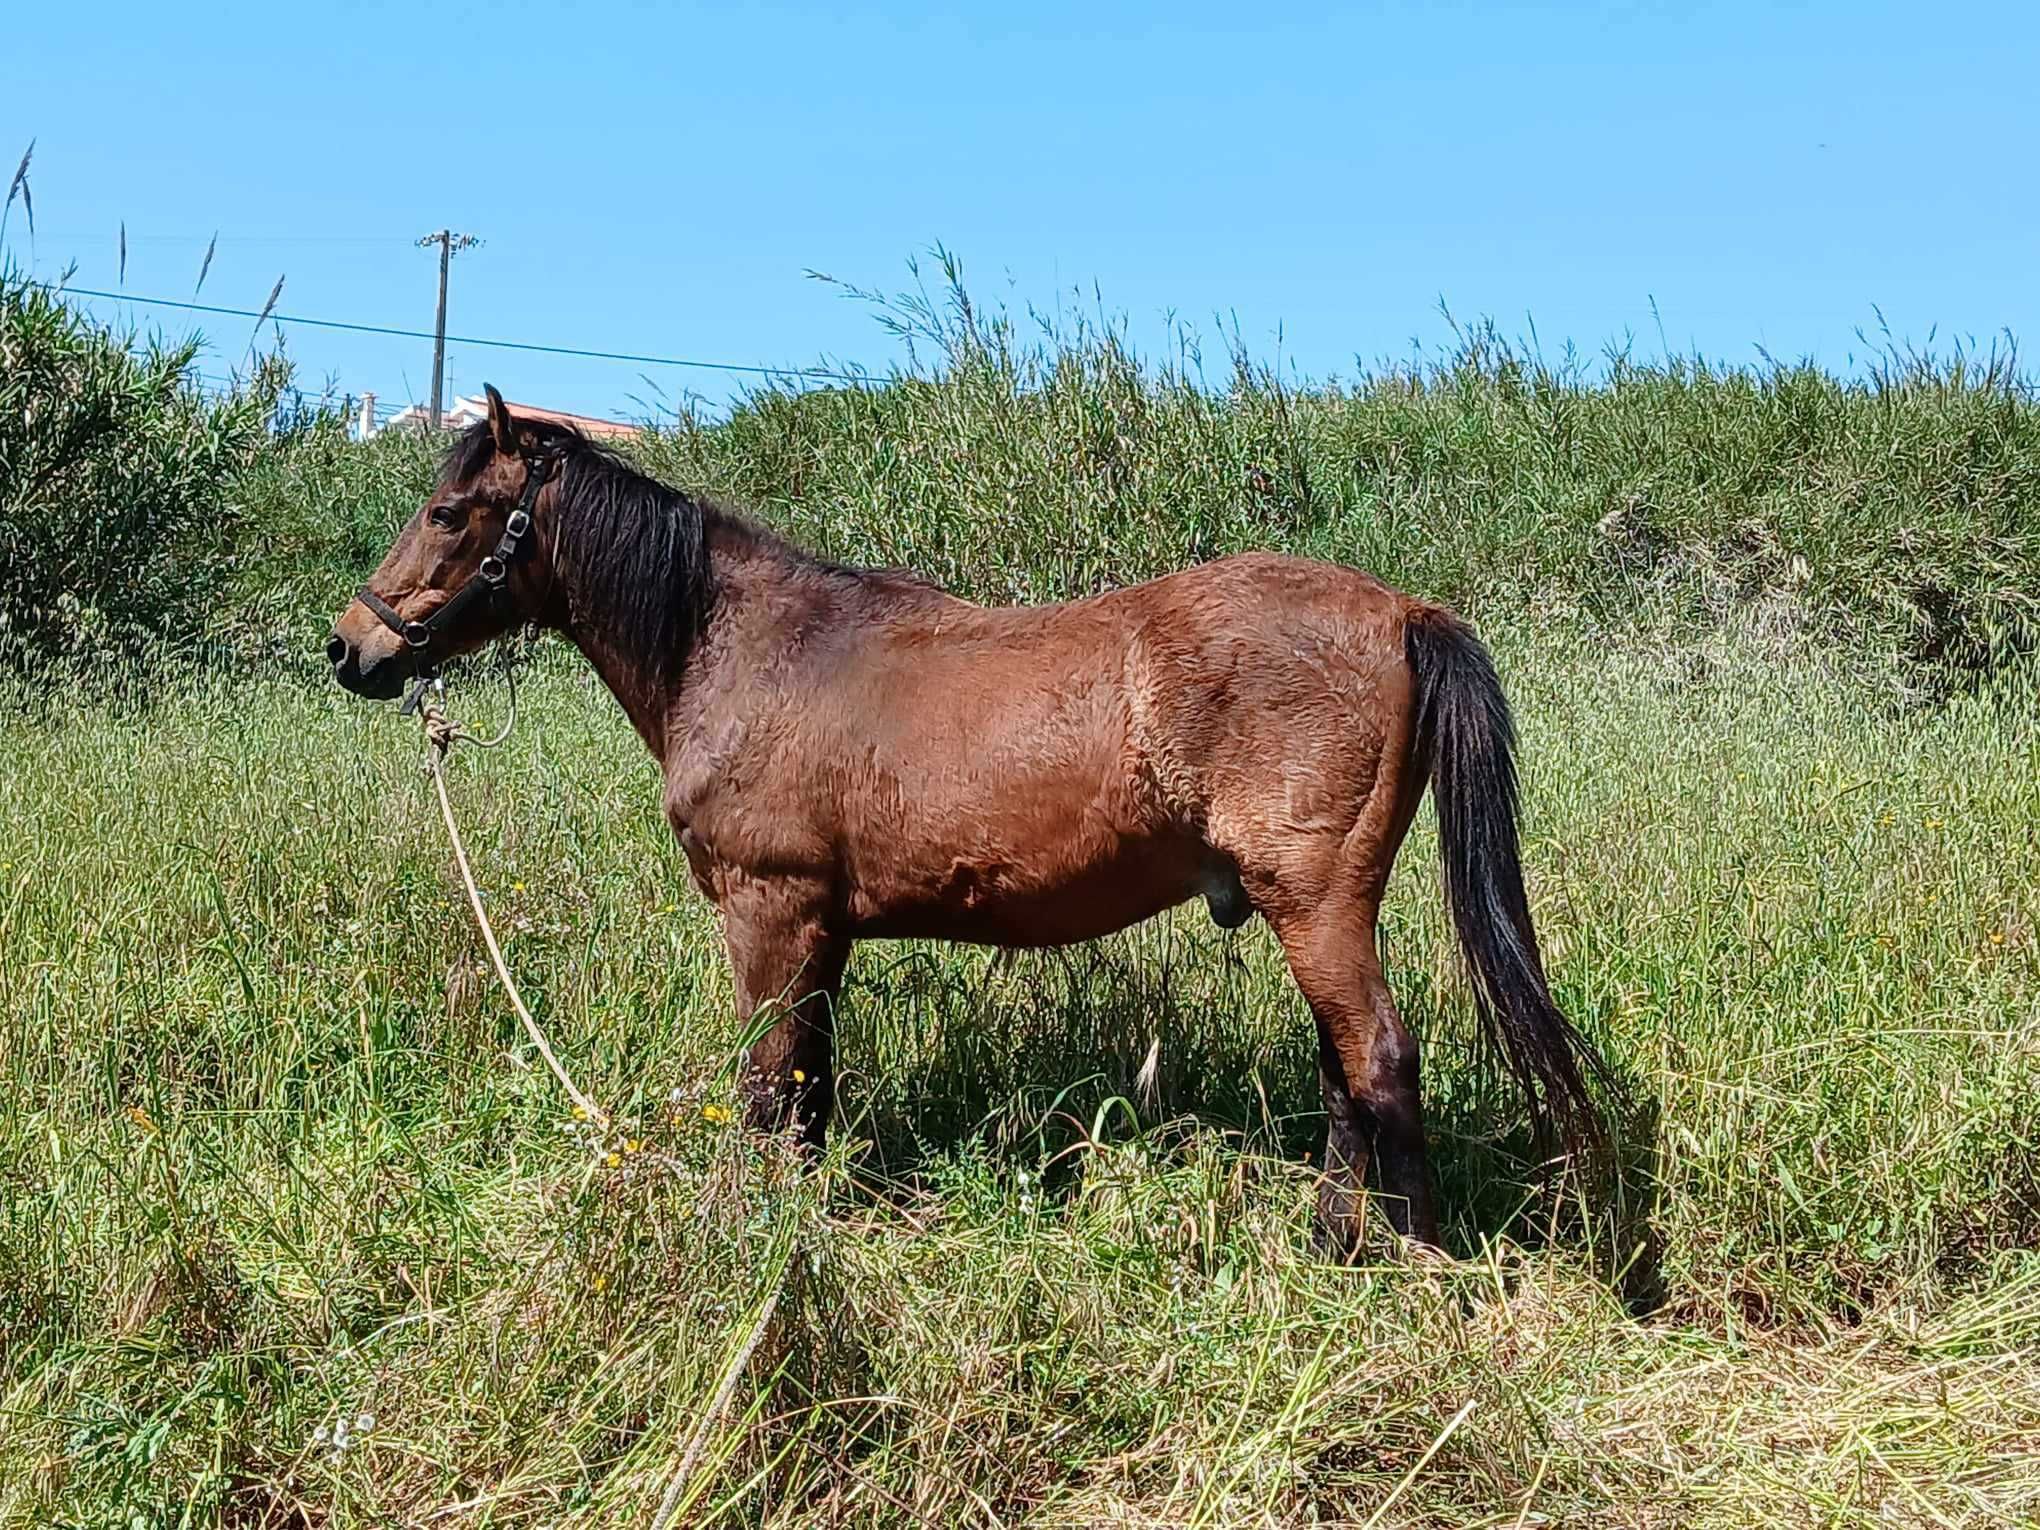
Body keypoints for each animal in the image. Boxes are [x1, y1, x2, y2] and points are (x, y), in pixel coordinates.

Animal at [326, 385, 1599, 1256]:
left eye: (450, 511)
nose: (353, 646)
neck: (742, 647)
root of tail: (1404, 611)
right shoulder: (821, 931)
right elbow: (810, 1086)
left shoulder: (767, 914)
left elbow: (764, 1084)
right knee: (1347, 1070)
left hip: (1316, 902)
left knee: (1377, 1059)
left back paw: (1395, 1253)